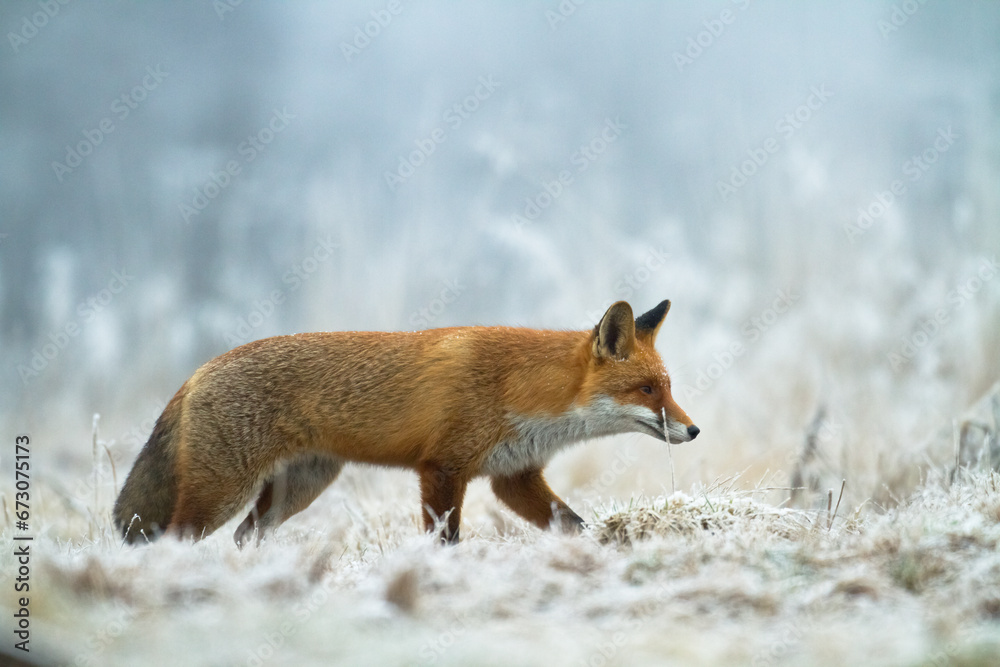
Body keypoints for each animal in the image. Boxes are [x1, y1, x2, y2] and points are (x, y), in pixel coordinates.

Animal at [113, 299, 699, 546]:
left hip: (299, 488)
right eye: (648, 390)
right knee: (174, 538)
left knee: (243, 537)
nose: (693, 431)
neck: (524, 392)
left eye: (668, 387)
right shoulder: (442, 469)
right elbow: (445, 541)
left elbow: (574, 525)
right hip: (221, 492)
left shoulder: (513, 477)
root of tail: (199, 369)